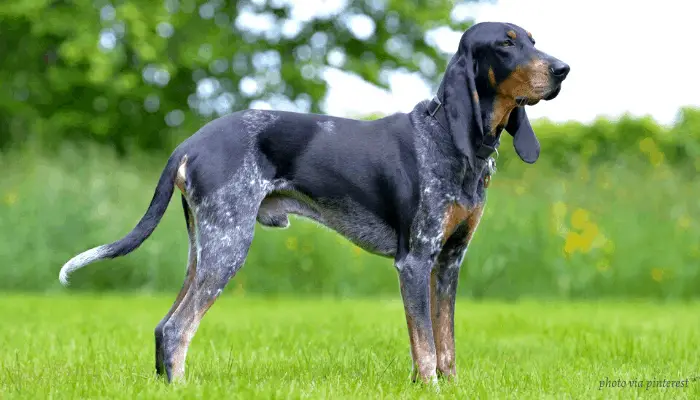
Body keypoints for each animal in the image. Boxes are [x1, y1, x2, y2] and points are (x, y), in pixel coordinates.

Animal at [60, 21, 568, 384]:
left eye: (533, 41)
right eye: (506, 44)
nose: (563, 69)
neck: (449, 138)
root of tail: (189, 142)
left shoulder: (449, 262)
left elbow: (446, 344)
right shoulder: (415, 260)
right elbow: (424, 345)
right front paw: (429, 385)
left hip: (203, 251)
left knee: (163, 327)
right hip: (227, 247)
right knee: (176, 328)